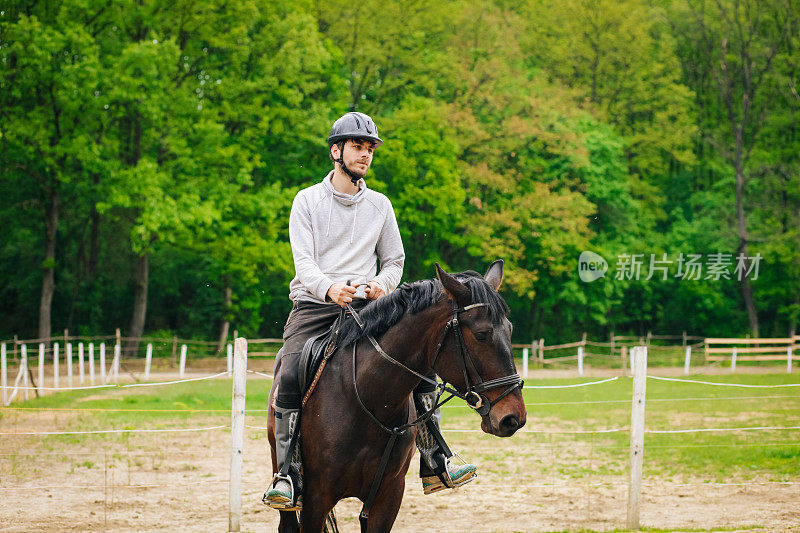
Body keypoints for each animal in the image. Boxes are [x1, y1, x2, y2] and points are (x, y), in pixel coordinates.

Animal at [270, 262, 524, 532]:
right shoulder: (316, 500)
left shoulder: (388, 496)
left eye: (509, 330)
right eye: (481, 334)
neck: (366, 400)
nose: (513, 418)